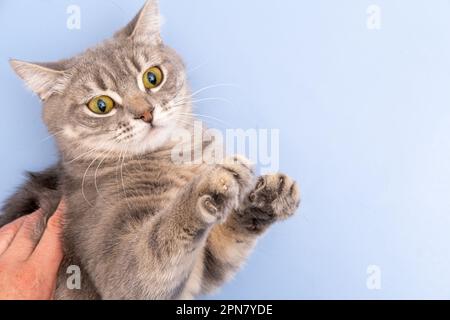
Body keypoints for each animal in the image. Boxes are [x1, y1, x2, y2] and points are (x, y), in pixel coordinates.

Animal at [0, 0, 302, 300]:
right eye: (101, 105)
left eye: (152, 77)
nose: (145, 113)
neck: (179, 154)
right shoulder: (121, 269)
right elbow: (159, 240)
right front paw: (211, 183)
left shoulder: (203, 270)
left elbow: (227, 239)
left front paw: (266, 196)